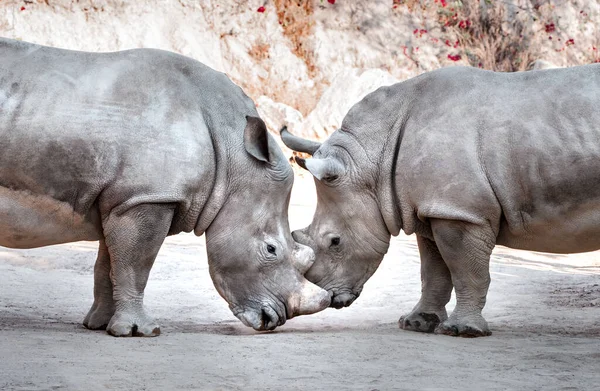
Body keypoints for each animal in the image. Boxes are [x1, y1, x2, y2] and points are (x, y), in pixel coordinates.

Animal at [0, 39, 330, 336]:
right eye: (271, 249)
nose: (273, 319)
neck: (232, 154)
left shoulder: (123, 199)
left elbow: (110, 266)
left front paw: (100, 325)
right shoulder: (149, 198)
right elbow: (136, 266)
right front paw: (139, 331)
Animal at [282, 63, 600, 336]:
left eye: (335, 242)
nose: (329, 297)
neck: (371, 159)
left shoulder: (460, 212)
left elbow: (467, 271)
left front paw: (463, 331)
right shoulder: (432, 208)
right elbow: (432, 271)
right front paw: (417, 323)